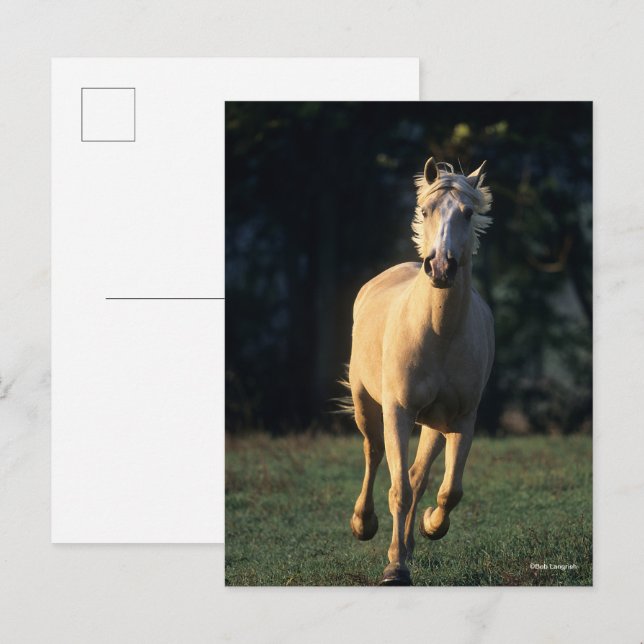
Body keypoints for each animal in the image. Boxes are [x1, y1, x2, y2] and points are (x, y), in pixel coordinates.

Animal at [343, 157, 494, 586]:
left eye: (468, 212)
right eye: (426, 210)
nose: (440, 267)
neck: (438, 331)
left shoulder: (462, 420)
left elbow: (448, 490)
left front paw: (430, 526)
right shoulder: (398, 411)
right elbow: (398, 490)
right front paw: (394, 568)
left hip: (433, 423)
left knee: (418, 475)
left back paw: (411, 542)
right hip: (367, 404)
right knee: (374, 452)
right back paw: (364, 524)